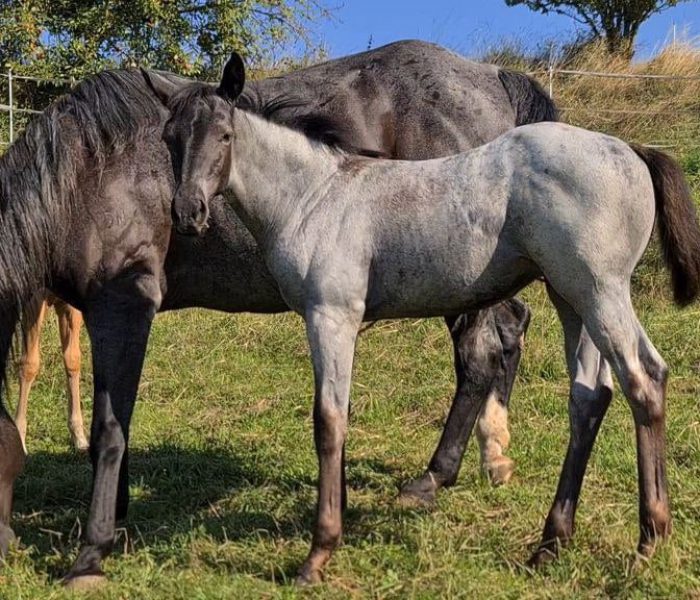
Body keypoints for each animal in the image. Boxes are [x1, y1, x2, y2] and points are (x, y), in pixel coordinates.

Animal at [157, 52, 700, 583]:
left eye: (225, 136)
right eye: (170, 137)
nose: (188, 212)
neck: (316, 194)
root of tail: (629, 148)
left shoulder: (331, 315)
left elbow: (329, 421)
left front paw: (319, 554)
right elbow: (339, 415)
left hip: (601, 291)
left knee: (644, 379)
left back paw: (649, 543)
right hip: (572, 298)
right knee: (589, 395)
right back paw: (550, 544)